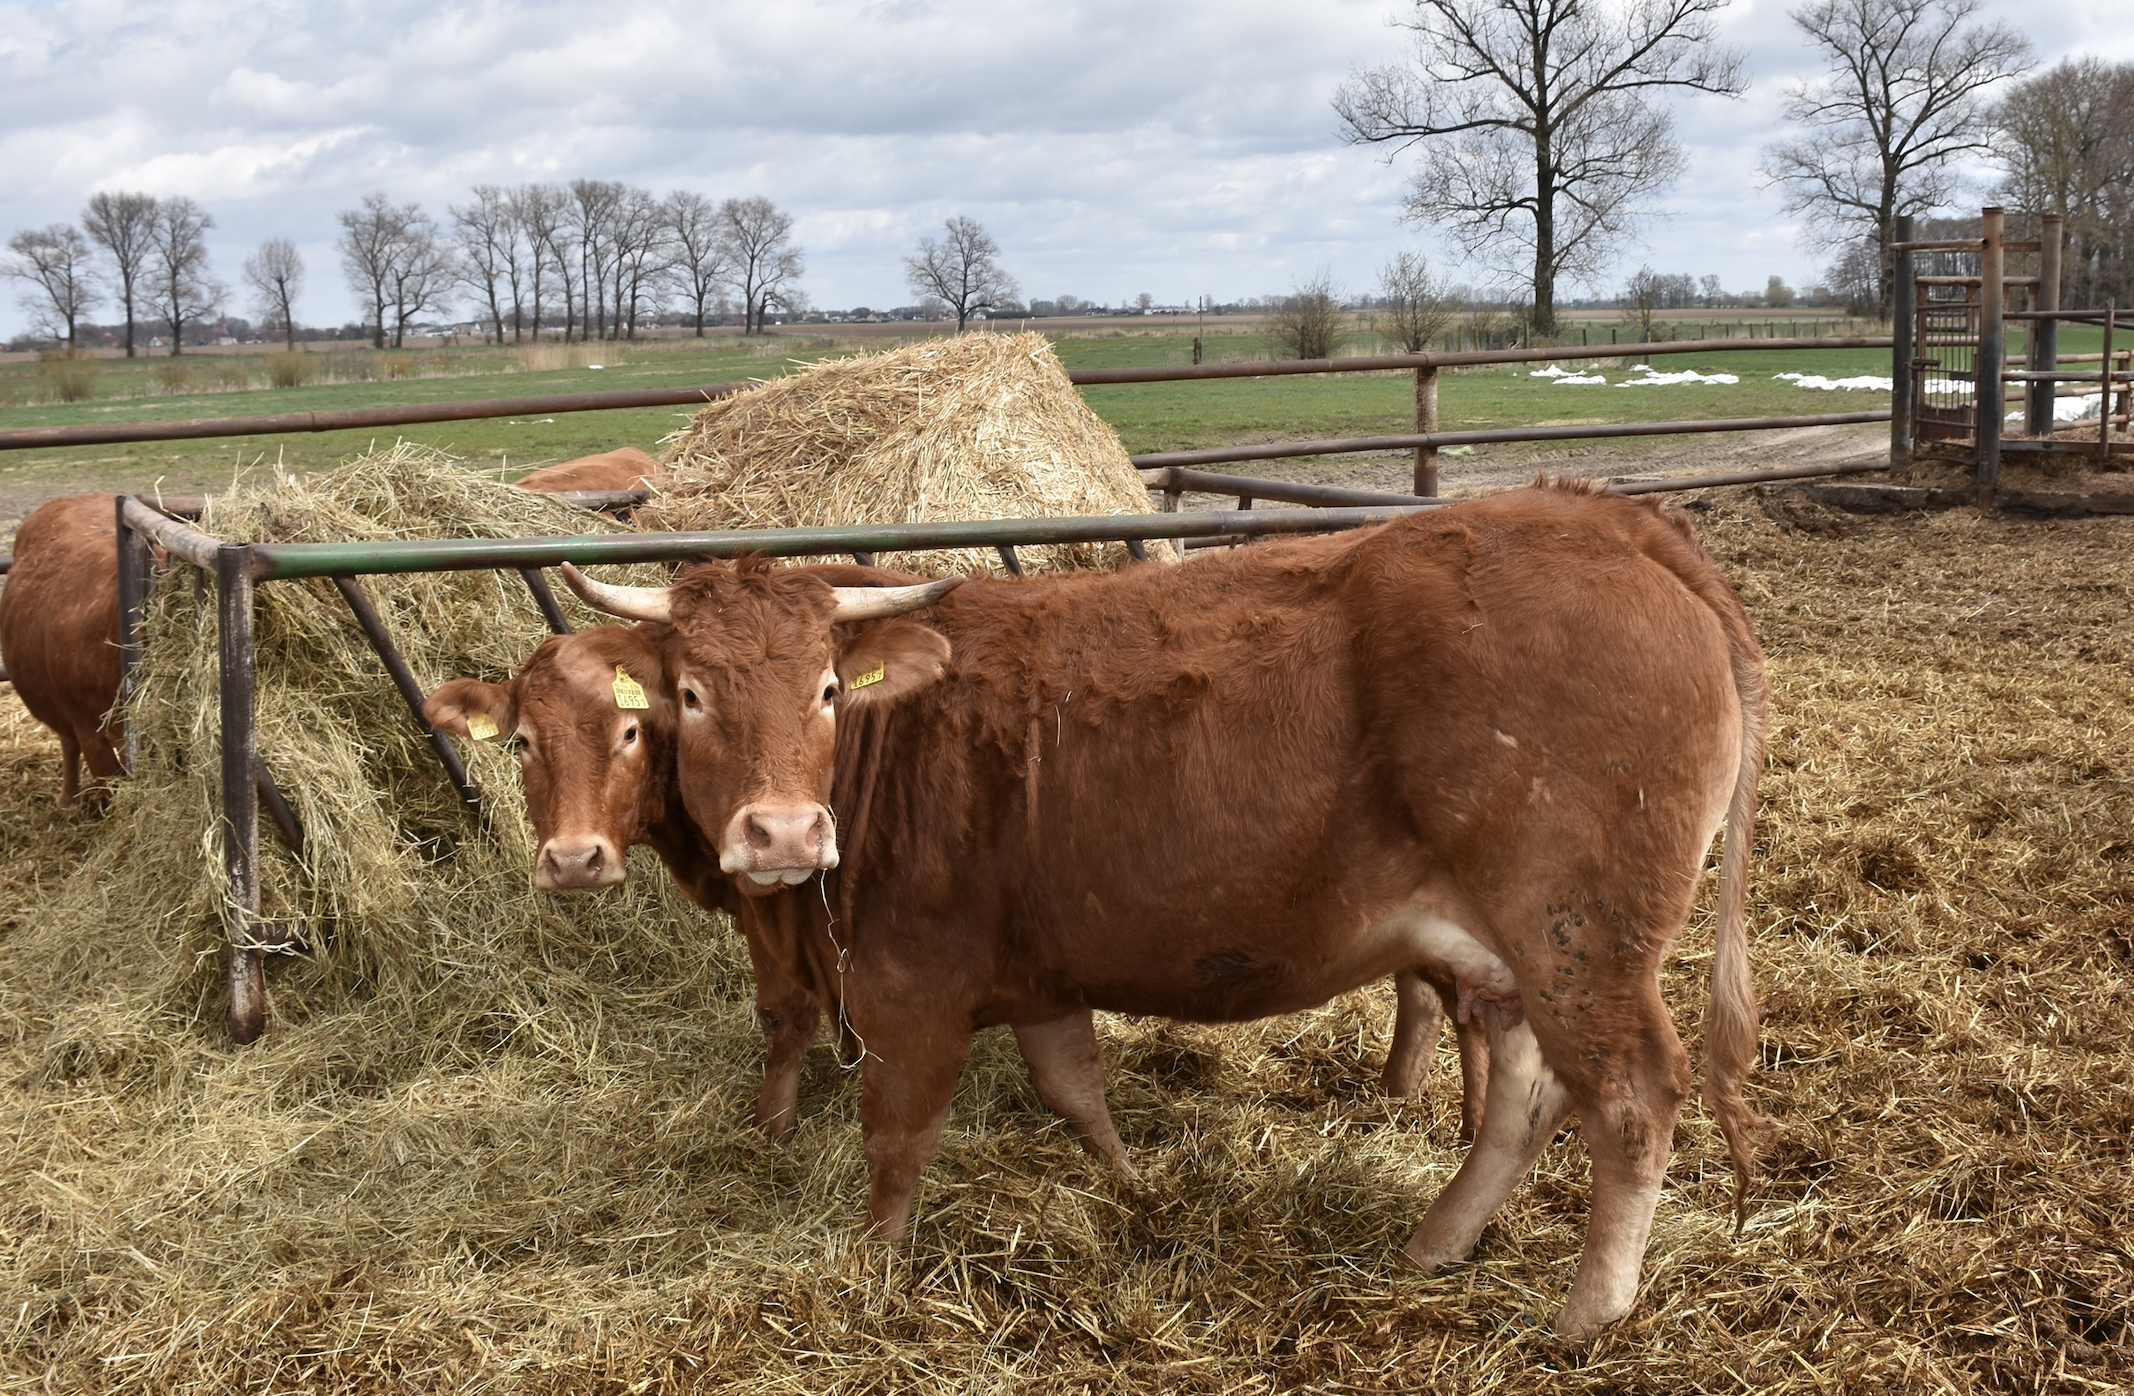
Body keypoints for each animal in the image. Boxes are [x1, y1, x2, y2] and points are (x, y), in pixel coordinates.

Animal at [563, 484, 1766, 1349]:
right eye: (690, 693)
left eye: (824, 688)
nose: (781, 835)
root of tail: (1602, 515)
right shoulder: (1035, 973)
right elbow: (1073, 1087)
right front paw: (1129, 1182)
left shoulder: (911, 990)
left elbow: (896, 1143)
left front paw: (877, 1264)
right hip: (1513, 950)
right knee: (1524, 1093)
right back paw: (1437, 1241)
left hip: (1578, 932)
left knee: (1629, 1098)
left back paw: (1585, 1314)